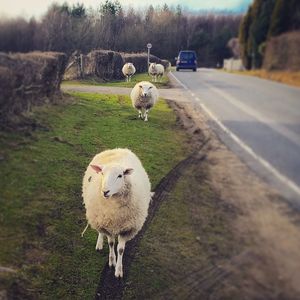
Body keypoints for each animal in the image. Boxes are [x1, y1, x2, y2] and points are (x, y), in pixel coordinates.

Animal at [82, 149, 151, 278]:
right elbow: (111, 243)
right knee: (100, 231)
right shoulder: (107, 225)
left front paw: (118, 270)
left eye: (120, 175)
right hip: (99, 218)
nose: (105, 191)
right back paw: (99, 244)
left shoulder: (127, 229)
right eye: (102, 173)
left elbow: (120, 249)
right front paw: (112, 261)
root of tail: (117, 149)